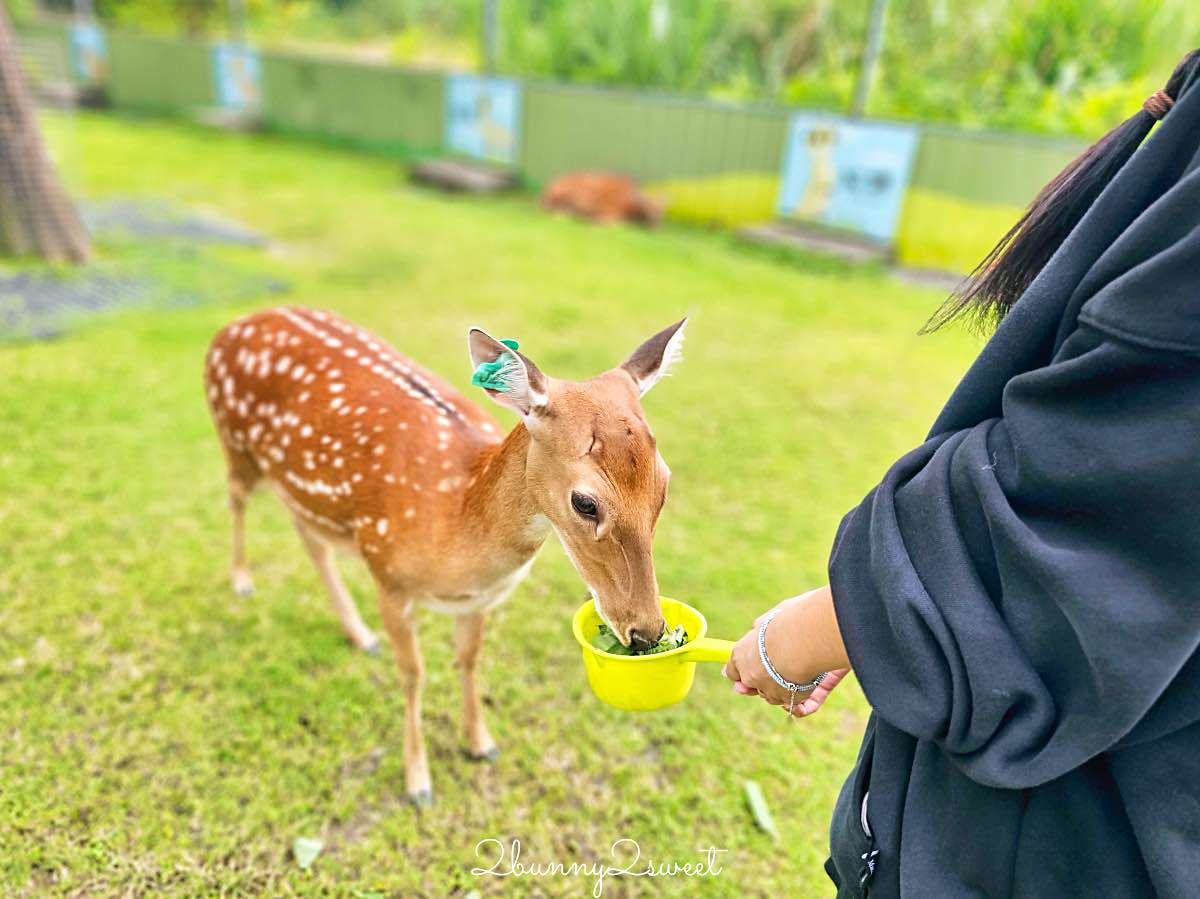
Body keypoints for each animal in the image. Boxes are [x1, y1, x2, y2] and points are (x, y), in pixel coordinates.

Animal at [203, 306, 685, 805]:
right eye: (584, 502)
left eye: (664, 485)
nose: (647, 632)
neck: (454, 522)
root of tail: (234, 324)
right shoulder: (388, 575)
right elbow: (412, 674)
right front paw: (418, 781)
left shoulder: (478, 598)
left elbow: (469, 659)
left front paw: (481, 743)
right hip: (233, 440)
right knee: (235, 496)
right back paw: (242, 582)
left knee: (308, 535)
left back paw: (359, 633)